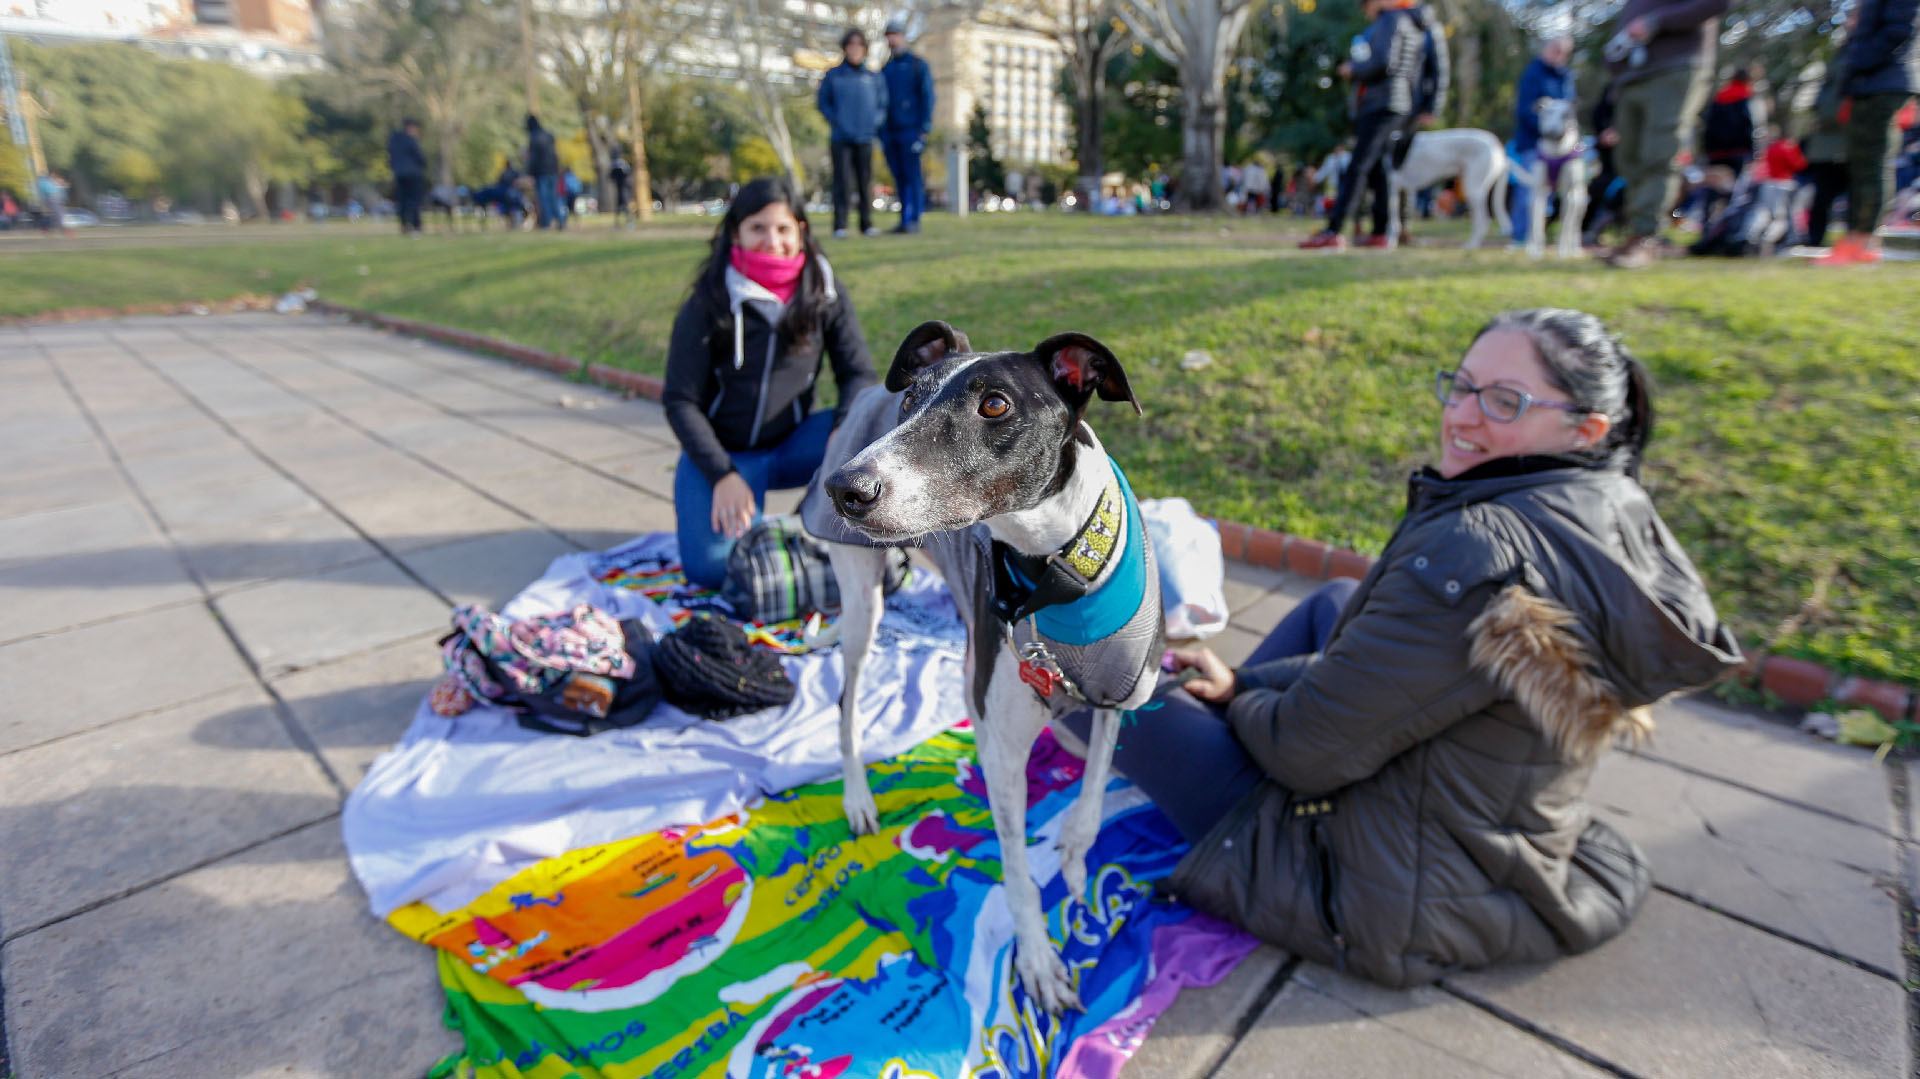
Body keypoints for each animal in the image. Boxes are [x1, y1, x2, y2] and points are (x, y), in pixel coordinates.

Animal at [1382, 126, 1512, 249]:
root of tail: (1496, 144)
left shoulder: (1393, 186)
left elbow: (1393, 220)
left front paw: (1390, 243)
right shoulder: (1405, 188)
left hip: (1473, 189)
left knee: (1483, 221)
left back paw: (1471, 245)